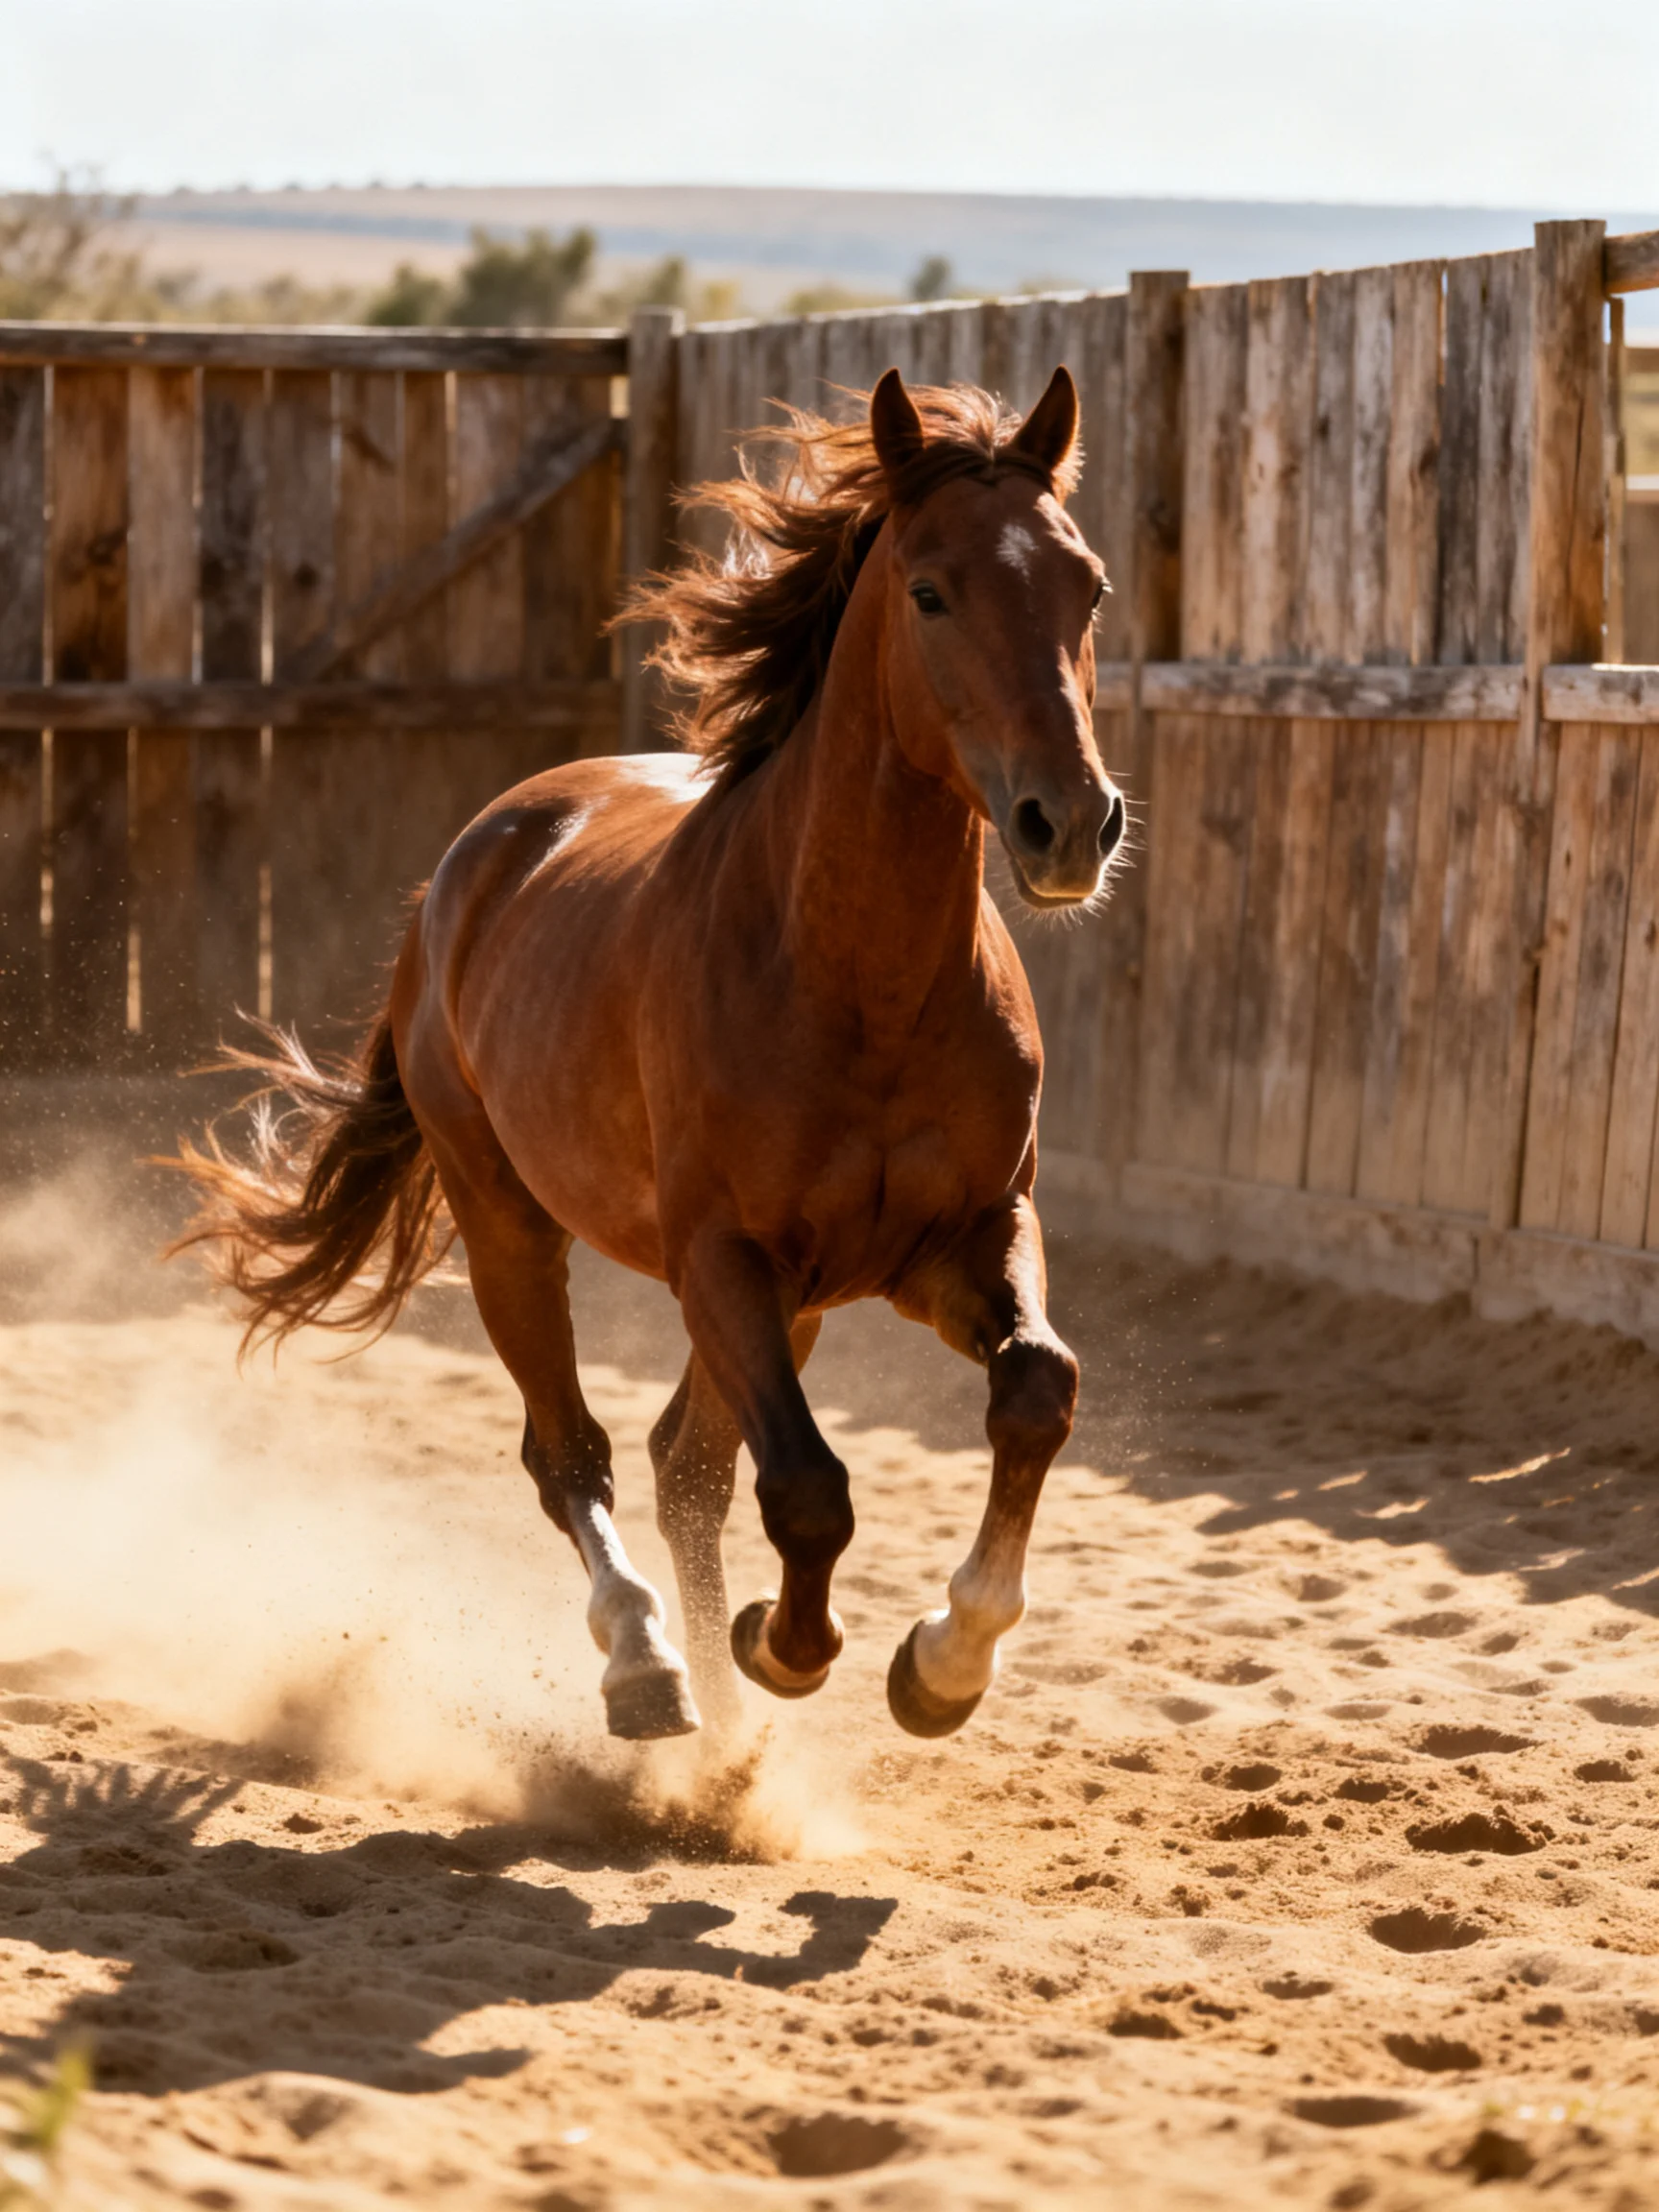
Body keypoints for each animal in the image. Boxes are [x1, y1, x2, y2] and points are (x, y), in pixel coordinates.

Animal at [174, 364, 1126, 1745]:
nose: (1071, 823)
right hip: (511, 1224)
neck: (859, 984)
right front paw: (784, 1647)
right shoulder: (722, 1258)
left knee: (685, 1465)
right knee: (575, 1452)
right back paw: (649, 1668)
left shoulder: (961, 1237)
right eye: (930, 590)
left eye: (1087, 584)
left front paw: (941, 1664)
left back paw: (724, 1729)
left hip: (796, 1298)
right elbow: (807, 1486)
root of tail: (472, 860)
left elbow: (1034, 1392)